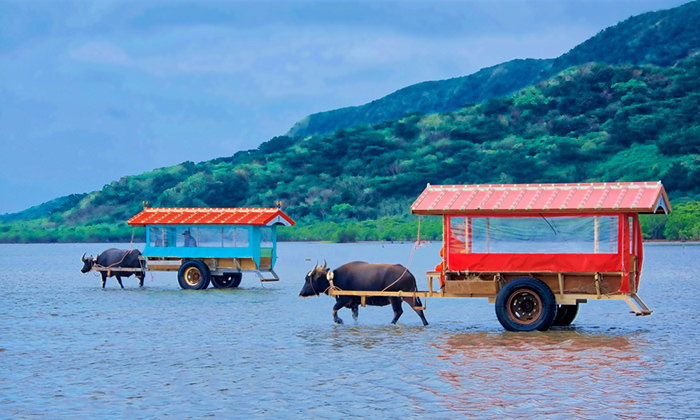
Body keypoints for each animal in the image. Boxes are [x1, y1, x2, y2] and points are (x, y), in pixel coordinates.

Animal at [300, 260, 430, 326]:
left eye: (307, 279)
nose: (301, 293)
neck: (334, 279)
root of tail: (408, 272)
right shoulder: (354, 304)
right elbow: (355, 316)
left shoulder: (344, 299)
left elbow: (333, 309)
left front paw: (339, 320)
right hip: (409, 296)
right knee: (418, 309)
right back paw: (425, 323)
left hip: (395, 298)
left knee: (398, 312)